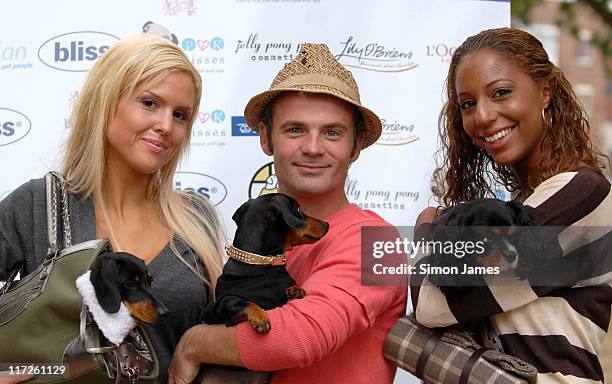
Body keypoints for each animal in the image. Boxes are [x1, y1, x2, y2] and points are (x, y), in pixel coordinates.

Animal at [202, 195, 328, 332]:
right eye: (299, 209)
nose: (327, 224)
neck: (263, 262)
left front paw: (296, 290)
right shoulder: (225, 303)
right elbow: (247, 303)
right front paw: (260, 317)